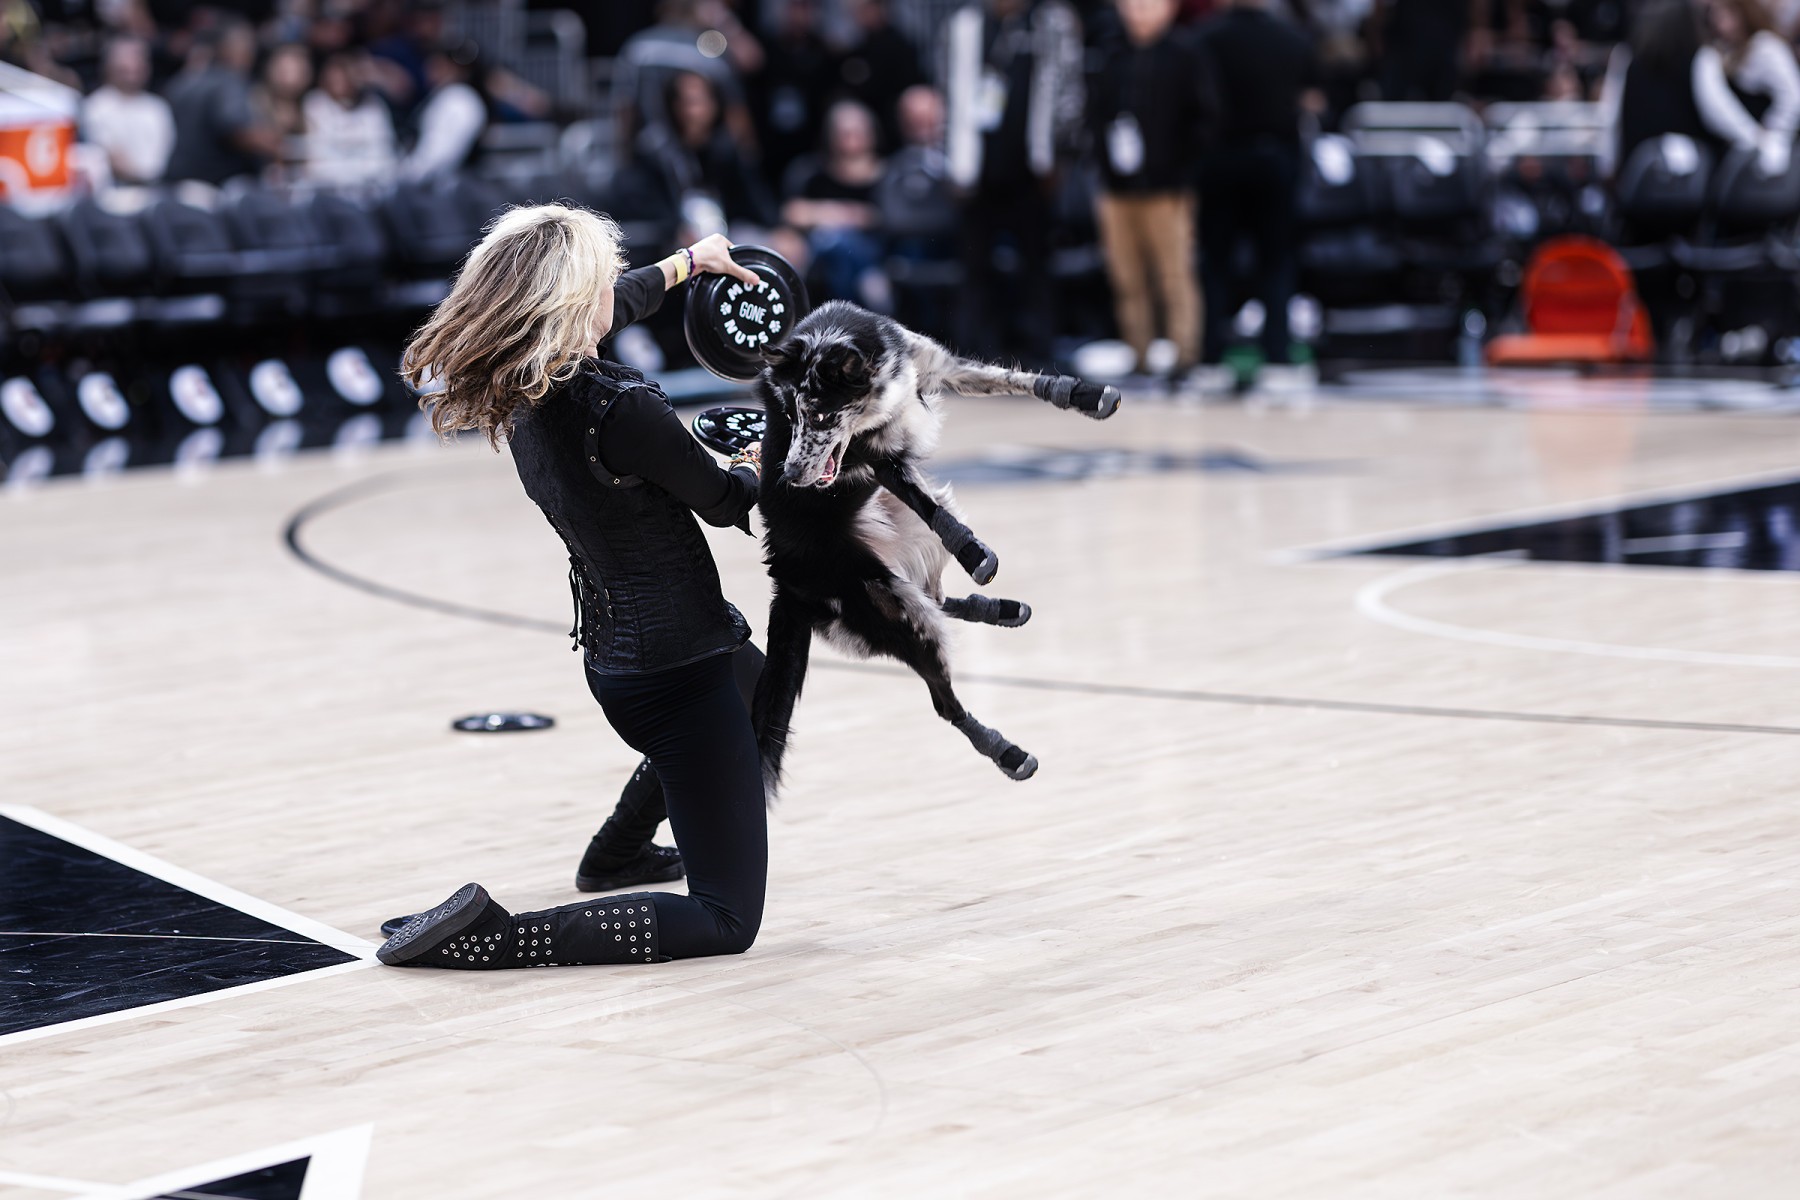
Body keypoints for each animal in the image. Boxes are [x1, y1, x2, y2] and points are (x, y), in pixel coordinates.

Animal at [750, 301, 1122, 792]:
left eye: (821, 416)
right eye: (790, 416)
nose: (790, 476)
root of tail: (782, 576)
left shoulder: (935, 366)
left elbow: (1012, 379)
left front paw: (1079, 394)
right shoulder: (880, 459)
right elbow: (926, 504)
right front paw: (973, 551)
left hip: (907, 563)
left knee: (940, 599)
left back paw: (1002, 610)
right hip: (896, 607)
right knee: (944, 699)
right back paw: (1007, 753)